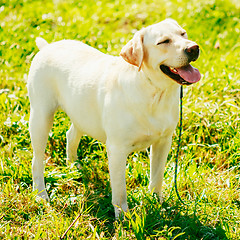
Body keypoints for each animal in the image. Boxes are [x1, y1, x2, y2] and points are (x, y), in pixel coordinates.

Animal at [27, 18, 201, 218]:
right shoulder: (117, 150)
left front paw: (158, 203)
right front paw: (123, 216)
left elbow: (157, 176)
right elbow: (119, 189)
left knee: (71, 134)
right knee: (37, 160)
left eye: (183, 34)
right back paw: (41, 193)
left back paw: (74, 165)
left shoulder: (164, 141)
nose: (193, 48)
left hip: (81, 110)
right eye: (164, 41)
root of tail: (47, 47)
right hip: (41, 117)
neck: (154, 92)